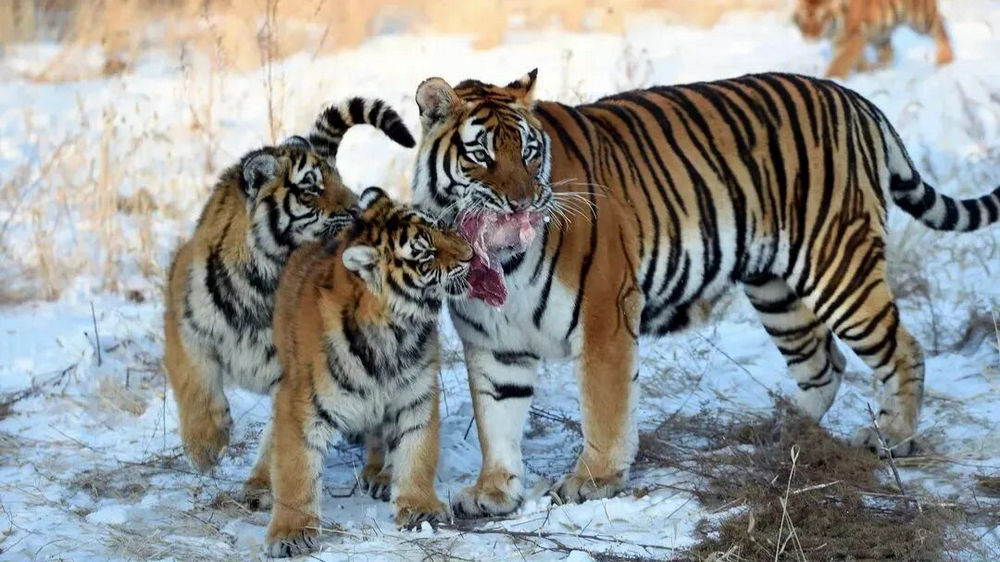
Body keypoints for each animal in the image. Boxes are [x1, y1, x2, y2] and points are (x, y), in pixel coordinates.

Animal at [163, 98, 415, 475]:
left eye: (338, 178)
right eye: (311, 187)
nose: (358, 209)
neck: (261, 282)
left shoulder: (297, 370)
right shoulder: (184, 324)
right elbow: (195, 383)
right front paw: (205, 447)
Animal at [264, 186, 472, 557]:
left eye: (444, 227)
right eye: (427, 254)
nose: (472, 256)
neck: (394, 330)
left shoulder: (415, 395)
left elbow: (417, 452)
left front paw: (419, 507)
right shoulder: (300, 404)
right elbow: (294, 469)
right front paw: (289, 534)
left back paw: (381, 475)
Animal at [409, 69, 1000, 517]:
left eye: (531, 154)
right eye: (482, 156)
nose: (525, 203)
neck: (501, 263)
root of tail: (855, 99)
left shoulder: (605, 316)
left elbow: (604, 409)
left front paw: (592, 481)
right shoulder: (494, 343)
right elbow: (497, 421)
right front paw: (493, 491)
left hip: (839, 266)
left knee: (903, 348)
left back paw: (892, 437)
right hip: (775, 288)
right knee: (822, 363)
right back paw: (781, 433)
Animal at [793, 0, 954, 78]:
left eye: (823, 17)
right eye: (803, 18)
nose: (809, 37)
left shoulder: (853, 36)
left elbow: (840, 63)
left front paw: (831, 79)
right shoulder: (843, 40)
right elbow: (853, 60)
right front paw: (865, 70)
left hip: (920, 18)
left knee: (941, 27)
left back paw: (945, 60)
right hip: (880, 33)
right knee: (889, 51)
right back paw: (879, 69)